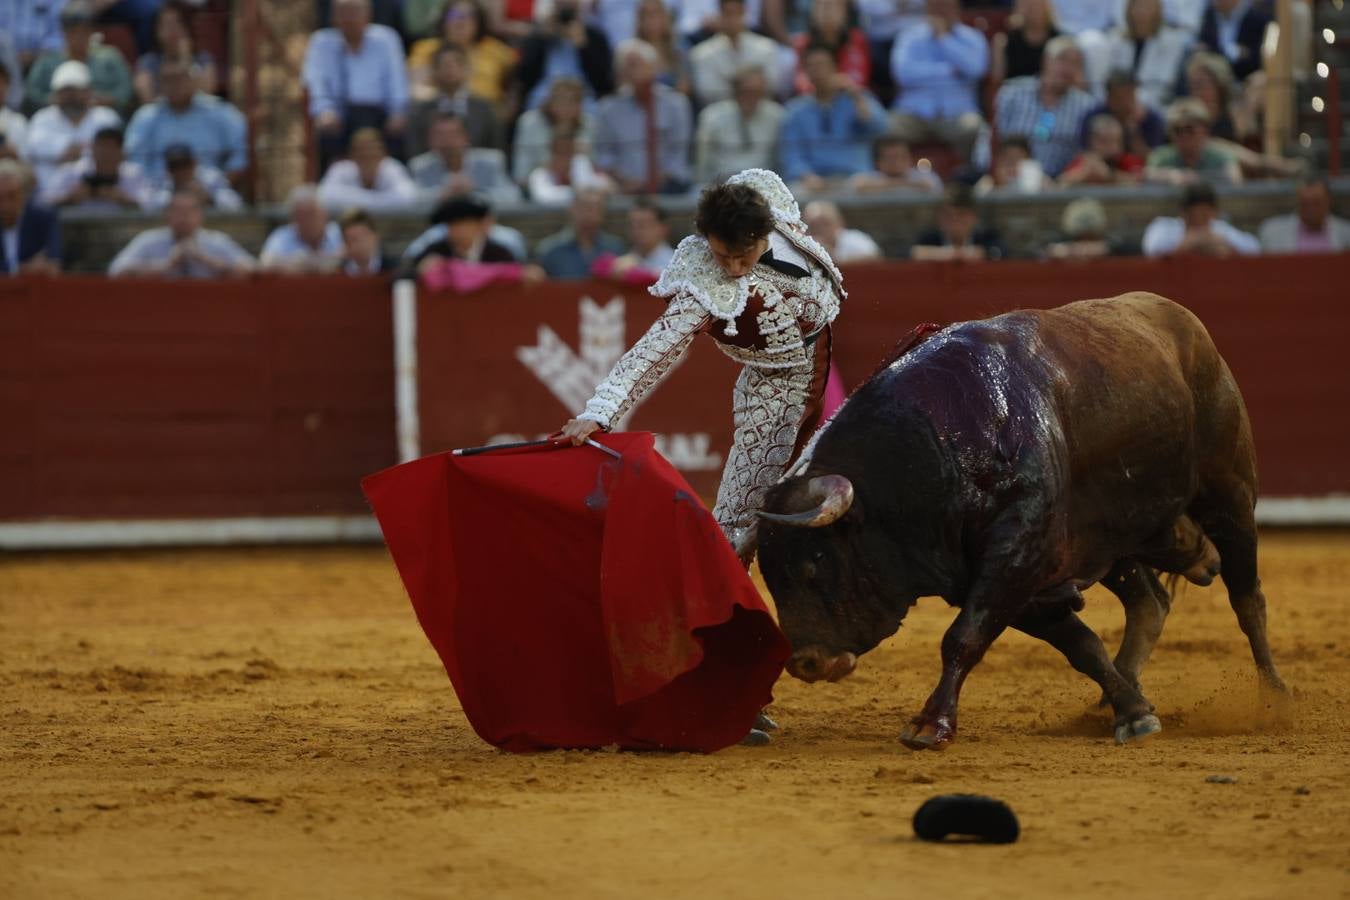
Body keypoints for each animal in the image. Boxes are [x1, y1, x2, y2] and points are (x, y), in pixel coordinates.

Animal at [761, 294, 1285, 744]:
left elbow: (963, 638)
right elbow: (1081, 645)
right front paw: (1133, 712)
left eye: (815, 567)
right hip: (1117, 535)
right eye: (771, 578)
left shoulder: (1017, 554)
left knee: (1247, 597)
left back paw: (1273, 698)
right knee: (1151, 601)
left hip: (1230, 493)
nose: (806, 662)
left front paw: (931, 725)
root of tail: (1187, 323)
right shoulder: (1017, 577)